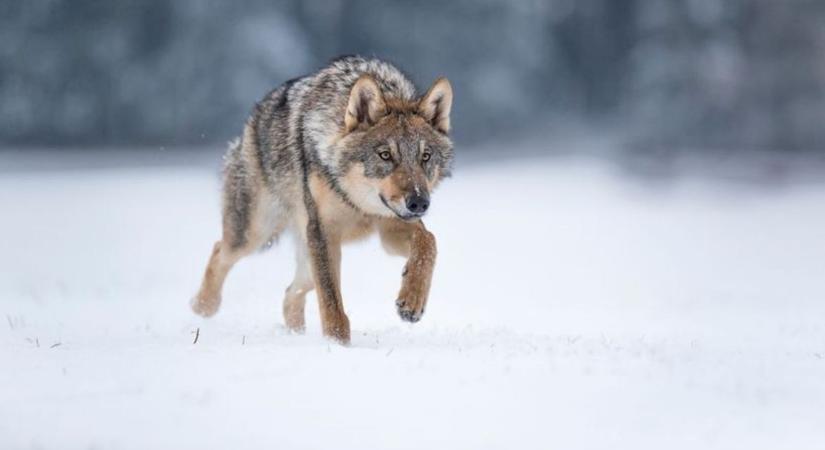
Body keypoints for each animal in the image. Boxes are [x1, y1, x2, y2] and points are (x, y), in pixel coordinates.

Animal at [191, 56, 454, 344]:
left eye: (425, 157)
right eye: (385, 155)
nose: (419, 203)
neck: (356, 203)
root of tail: (251, 122)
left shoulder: (390, 226)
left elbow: (428, 241)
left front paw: (412, 301)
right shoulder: (323, 231)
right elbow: (330, 300)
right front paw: (337, 344)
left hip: (305, 257)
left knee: (290, 294)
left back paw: (295, 335)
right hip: (257, 235)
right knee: (220, 250)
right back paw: (202, 306)